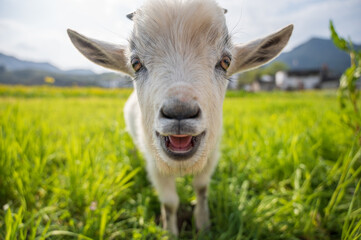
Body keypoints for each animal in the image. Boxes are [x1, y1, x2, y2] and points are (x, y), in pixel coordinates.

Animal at [67, 0, 292, 236]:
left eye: (225, 61)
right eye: (136, 63)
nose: (180, 113)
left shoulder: (211, 155)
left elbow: (201, 189)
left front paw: (203, 225)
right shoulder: (155, 165)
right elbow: (170, 203)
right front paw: (170, 232)